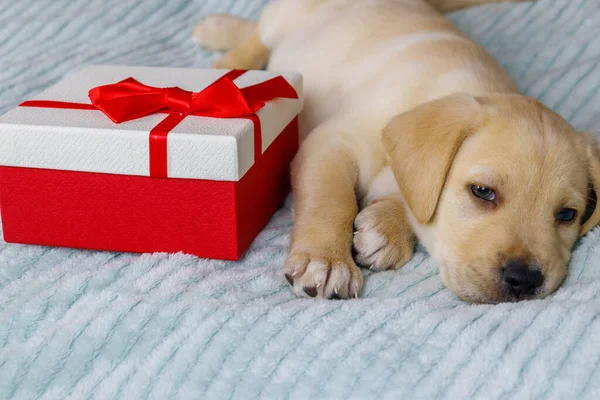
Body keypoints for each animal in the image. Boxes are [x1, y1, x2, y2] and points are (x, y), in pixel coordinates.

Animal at [196, 0, 600, 302]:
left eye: (567, 215)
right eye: (483, 192)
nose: (524, 280)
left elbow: (412, 197)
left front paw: (387, 229)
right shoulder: (332, 142)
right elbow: (331, 200)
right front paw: (326, 259)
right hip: (287, 16)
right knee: (260, 35)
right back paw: (225, 52)